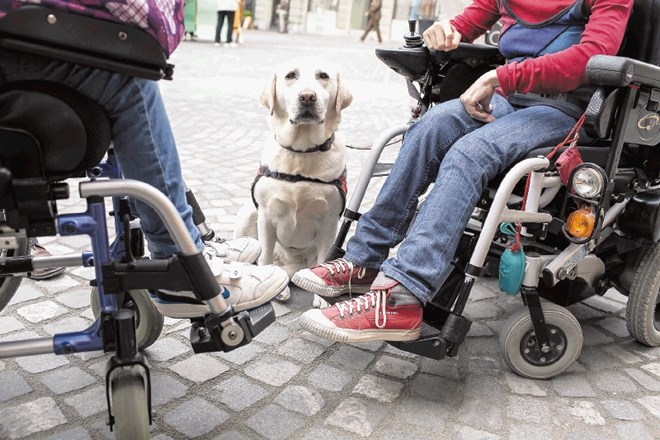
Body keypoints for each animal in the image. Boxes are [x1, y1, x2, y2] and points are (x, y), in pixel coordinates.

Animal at [235, 58, 354, 280]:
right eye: (290, 75)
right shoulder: (266, 217)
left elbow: (324, 259)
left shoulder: (329, 224)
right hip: (249, 213)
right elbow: (264, 258)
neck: (301, 153)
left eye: (323, 76)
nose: (307, 97)